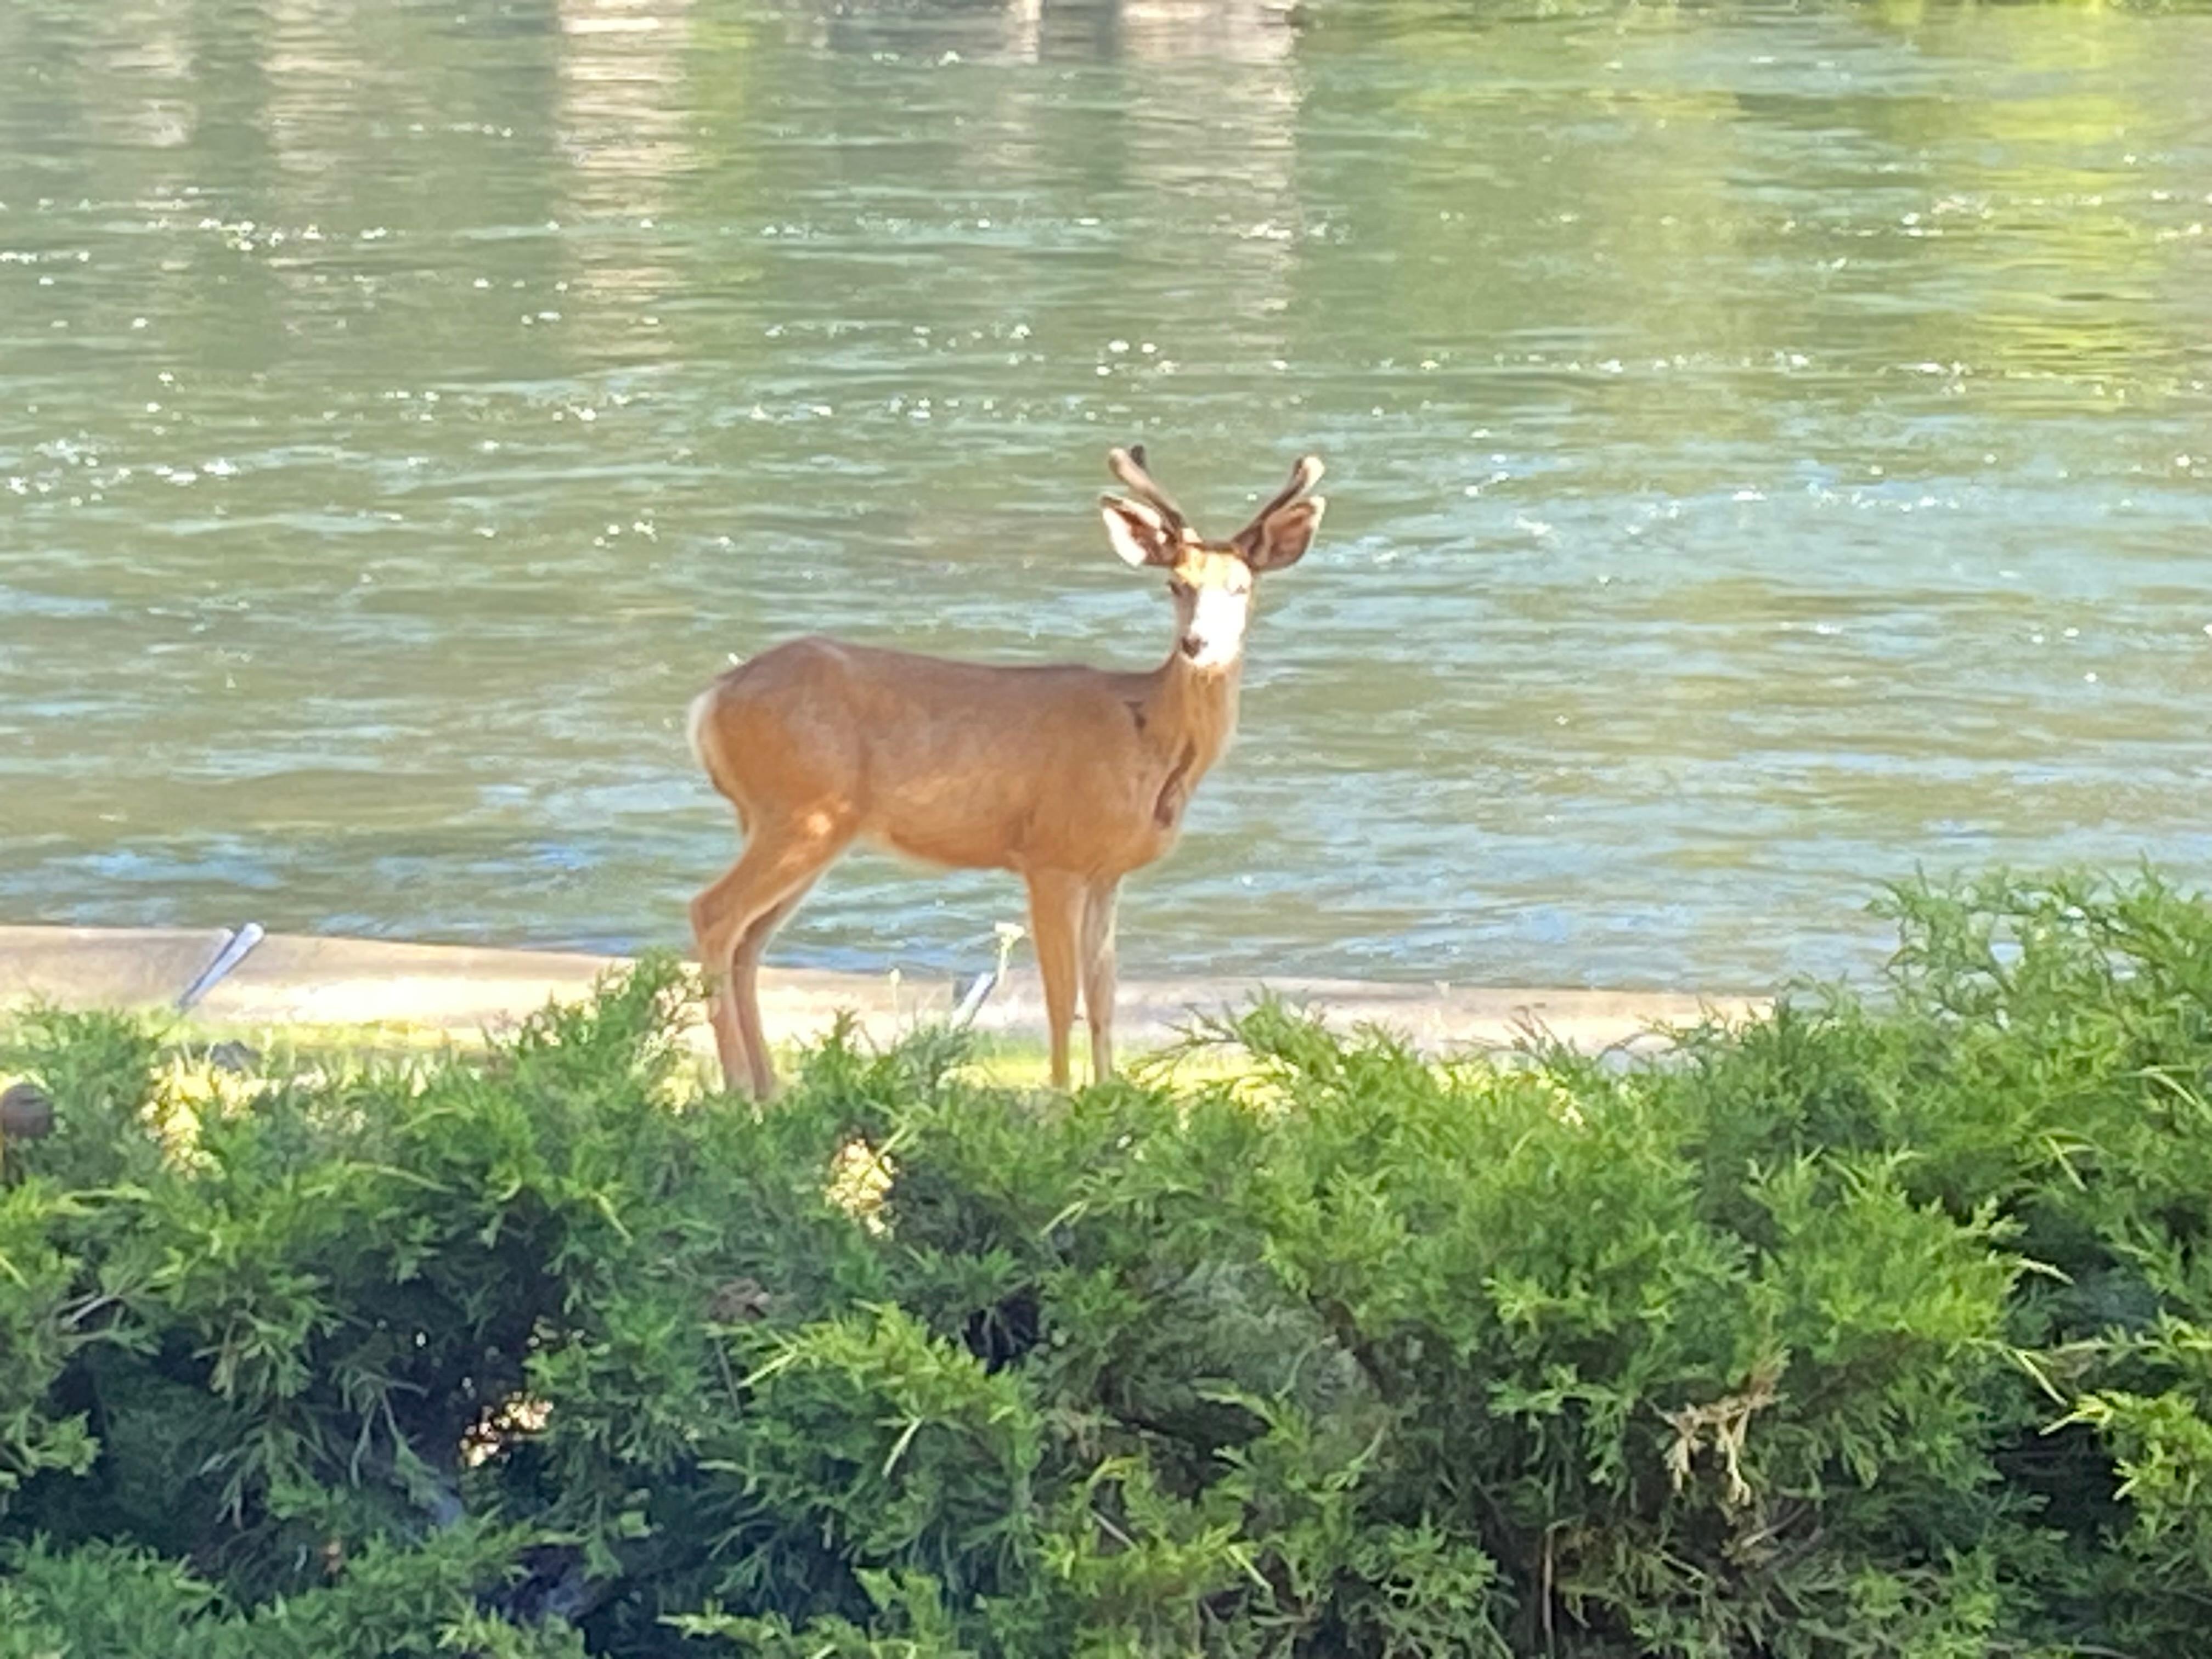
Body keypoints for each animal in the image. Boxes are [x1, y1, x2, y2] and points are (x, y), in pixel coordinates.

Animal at [685, 445, 1326, 1097]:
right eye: (1176, 584)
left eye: (1242, 587)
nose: (1198, 644)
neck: (1145, 734)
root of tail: (709, 701)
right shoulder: (1051, 855)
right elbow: (1061, 996)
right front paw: (1063, 1098)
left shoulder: (1107, 872)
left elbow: (1104, 996)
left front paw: (1110, 1092)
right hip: (802, 812)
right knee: (714, 913)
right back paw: (738, 1087)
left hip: (796, 825)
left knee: (750, 942)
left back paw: (770, 1088)